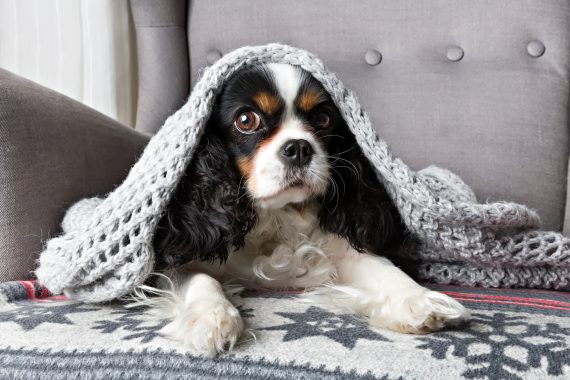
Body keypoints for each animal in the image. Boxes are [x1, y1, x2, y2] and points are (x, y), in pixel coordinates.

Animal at [145, 63, 466, 356]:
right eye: (246, 120)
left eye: (323, 119)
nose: (299, 147)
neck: (275, 216)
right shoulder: (174, 260)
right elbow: (200, 277)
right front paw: (211, 318)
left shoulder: (338, 249)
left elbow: (381, 265)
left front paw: (419, 300)